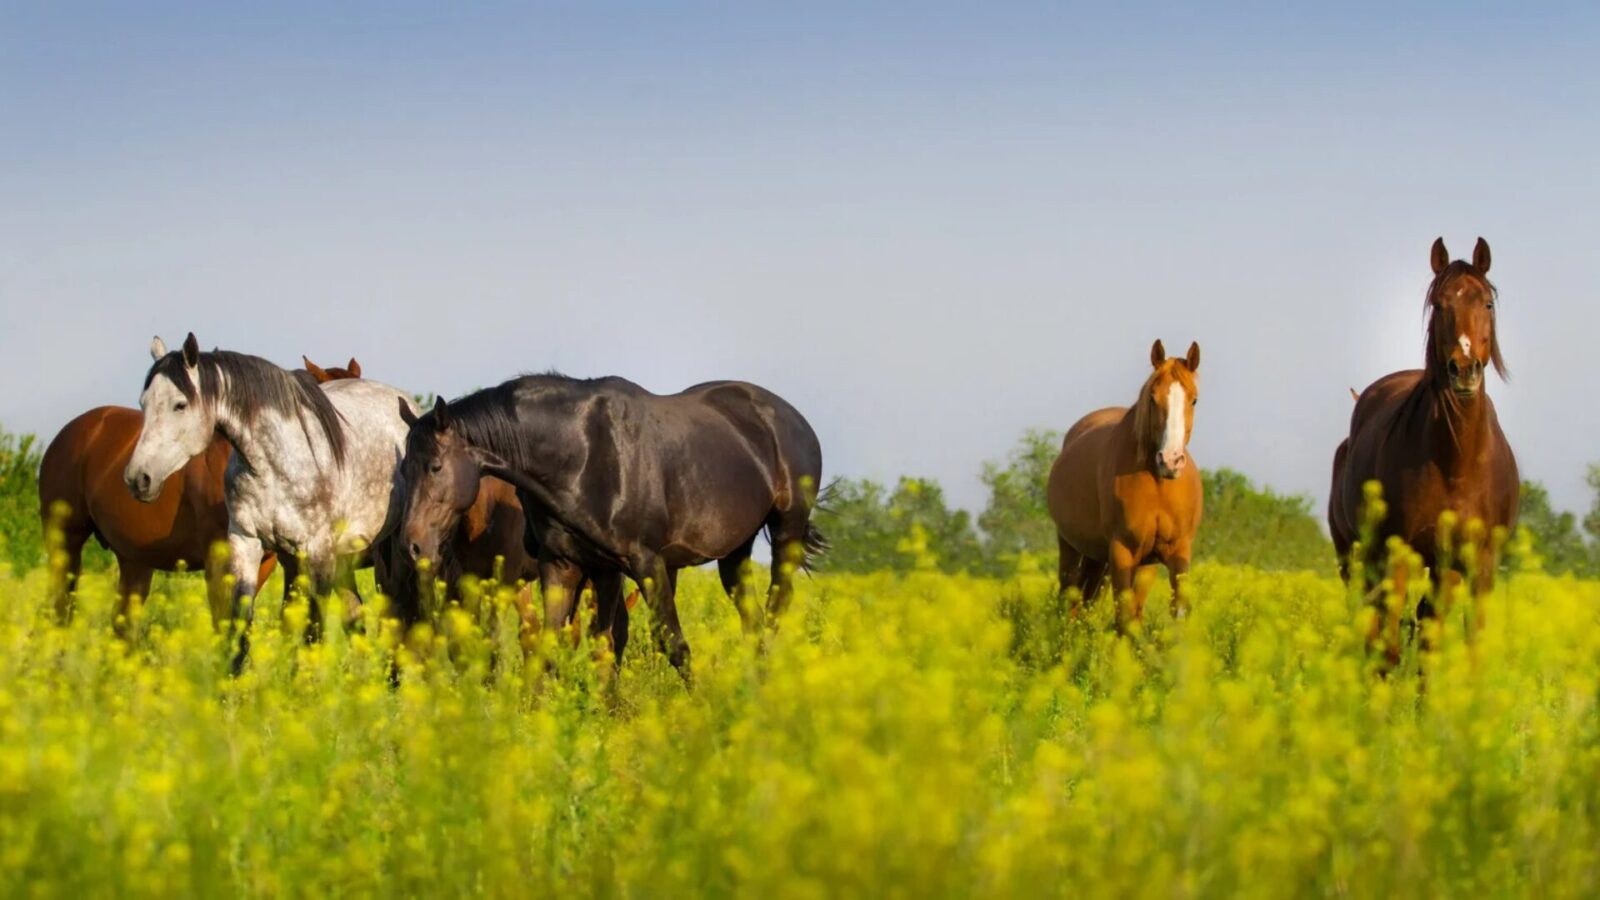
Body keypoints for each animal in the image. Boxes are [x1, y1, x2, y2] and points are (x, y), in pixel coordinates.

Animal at [38, 355, 361, 632]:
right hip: (66, 542)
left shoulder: (267, 563)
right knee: (61, 610)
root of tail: (74, 432)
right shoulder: (220, 563)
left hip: (134, 559)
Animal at [124, 334, 420, 656]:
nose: (138, 478)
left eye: (180, 405)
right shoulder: (248, 543)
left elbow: (313, 631)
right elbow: (243, 627)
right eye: (143, 403)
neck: (274, 462)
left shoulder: (318, 554)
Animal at [395, 375, 827, 674]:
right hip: (735, 551)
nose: (412, 545)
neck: (582, 456)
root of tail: (791, 419)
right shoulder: (570, 566)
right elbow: (563, 646)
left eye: (435, 467)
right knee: (753, 623)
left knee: (775, 611)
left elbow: (671, 645)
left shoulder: (644, 563)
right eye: (403, 468)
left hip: (786, 533)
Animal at [1046, 340, 1203, 631]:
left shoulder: (1177, 551)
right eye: (1152, 398)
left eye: (1194, 399)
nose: (1170, 460)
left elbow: (1176, 613)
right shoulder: (1122, 552)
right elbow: (1124, 621)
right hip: (1072, 548)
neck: (1158, 483)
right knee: (1069, 601)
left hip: (1118, 561)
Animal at [1328, 237, 1518, 662]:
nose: (1463, 370)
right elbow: (1389, 646)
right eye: (1439, 304)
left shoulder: (1475, 566)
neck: (1457, 462)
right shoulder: (1397, 557)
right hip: (1356, 556)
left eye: (1487, 303)